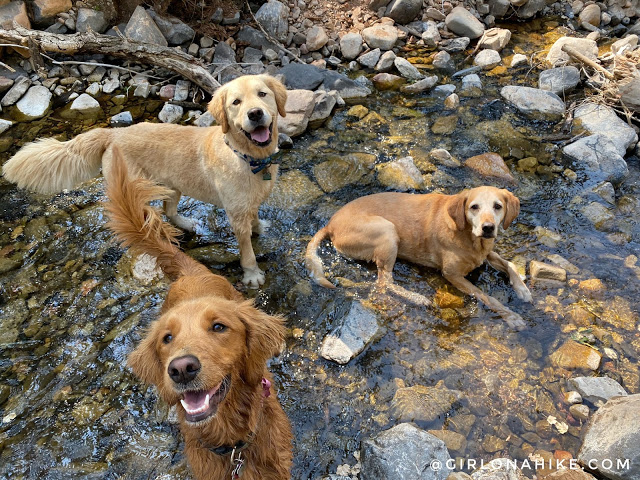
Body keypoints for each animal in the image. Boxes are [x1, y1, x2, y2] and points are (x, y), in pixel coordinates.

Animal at [1, 73, 288, 286]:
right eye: (236, 102)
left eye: (263, 94)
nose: (255, 114)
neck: (248, 158)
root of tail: (112, 134)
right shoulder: (236, 214)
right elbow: (247, 251)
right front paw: (252, 274)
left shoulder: (250, 202)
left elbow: (254, 218)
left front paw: (260, 227)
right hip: (135, 189)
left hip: (172, 184)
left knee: (168, 210)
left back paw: (185, 223)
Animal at [304, 186, 528, 328]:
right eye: (474, 207)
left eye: (498, 206)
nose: (488, 228)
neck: (469, 237)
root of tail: (330, 225)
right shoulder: (452, 275)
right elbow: (487, 297)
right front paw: (512, 317)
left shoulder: (486, 252)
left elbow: (509, 264)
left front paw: (523, 290)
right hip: (387, 231)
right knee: (385, 281)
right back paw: (418, 298)